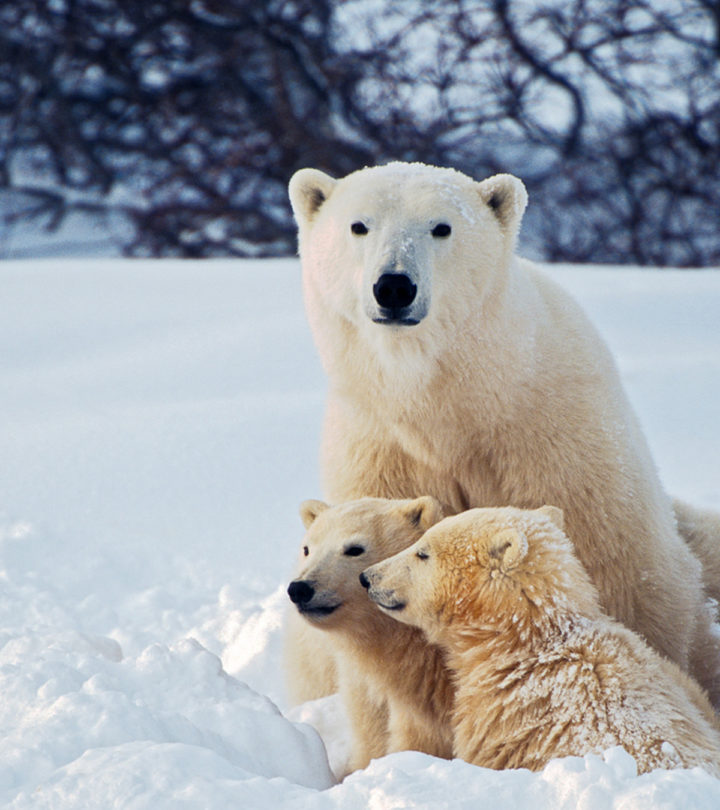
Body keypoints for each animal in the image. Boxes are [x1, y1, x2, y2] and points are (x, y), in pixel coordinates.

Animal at [286, 161, 720, 704]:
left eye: (441, 227)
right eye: (358, 226)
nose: (394, 287)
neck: (451, 404)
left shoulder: (552, 439)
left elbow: (619, 571)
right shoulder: (380, 448)